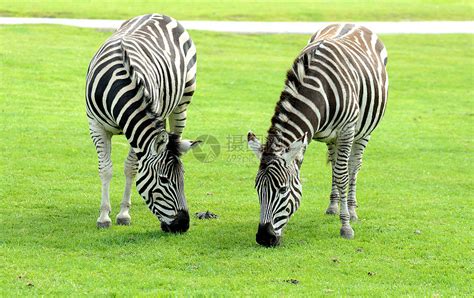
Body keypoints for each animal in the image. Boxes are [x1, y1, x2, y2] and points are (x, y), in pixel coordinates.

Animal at [86, 14, 199, 233]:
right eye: (164, 180)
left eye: (183, 177)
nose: (183, 225)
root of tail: (160, 14)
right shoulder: (96, 126)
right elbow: (105, 169)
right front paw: (104, 216)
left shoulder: (137, 134)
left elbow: (131, 168)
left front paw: (123, 213)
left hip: (182, 104)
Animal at [248, 23, 388, 247]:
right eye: (257, 189)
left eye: (282, 190)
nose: (264, 238)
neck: (318, 90)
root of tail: (353, 23)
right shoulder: (310, 134)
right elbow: (333, 171)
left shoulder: (347, 130)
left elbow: (342, 176)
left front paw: (346, 226)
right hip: (331, 137)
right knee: (335, 164)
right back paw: (333, 206)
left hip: (363, 131)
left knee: (352, 167)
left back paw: (351, 209)